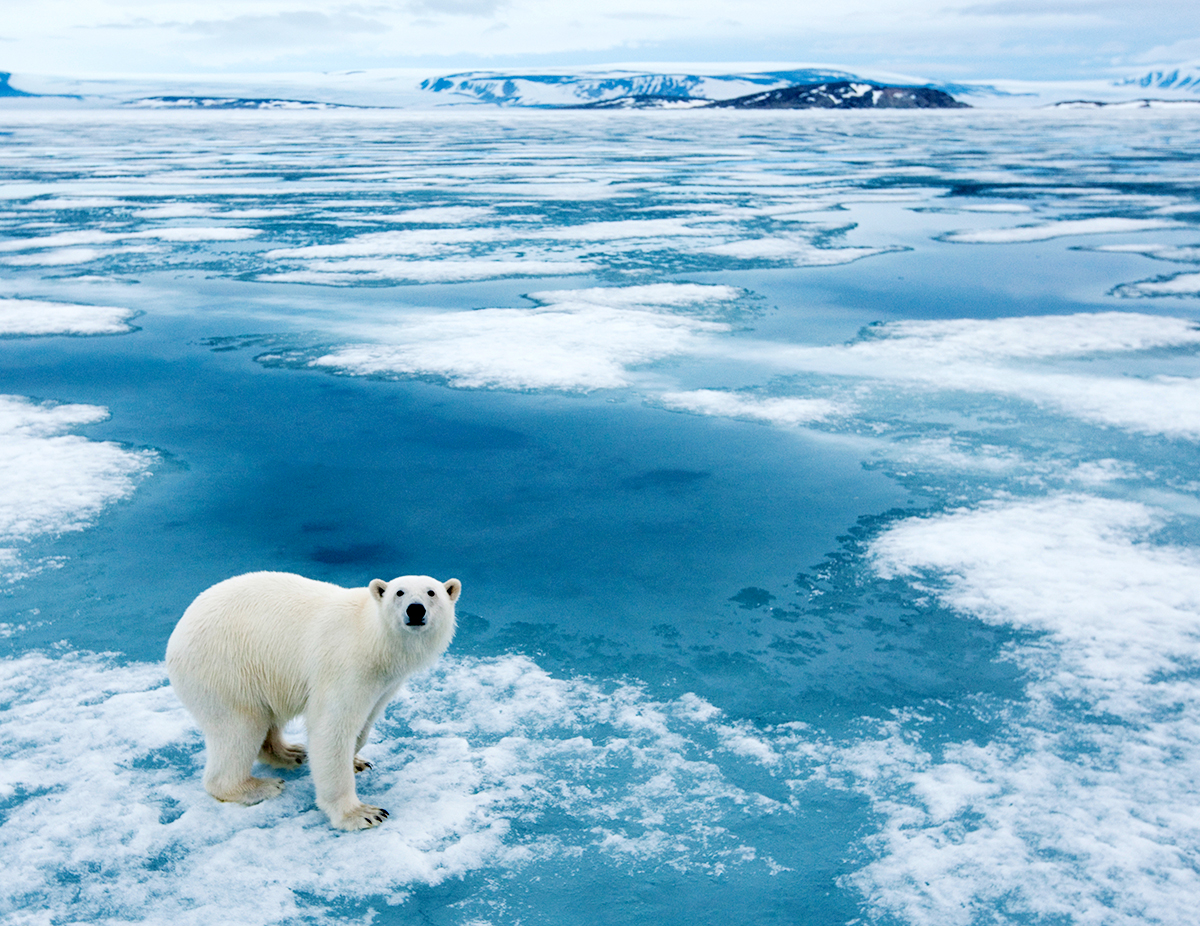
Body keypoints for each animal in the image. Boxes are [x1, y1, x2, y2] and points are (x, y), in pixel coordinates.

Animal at [166, 571, 460, 831]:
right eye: (399, 592)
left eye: (431, 592)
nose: (415, 610)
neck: (375, 639)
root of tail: (177, 633)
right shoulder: (346, 664)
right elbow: (331, 726)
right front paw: (361, 813)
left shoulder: (387, 682)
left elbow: (365, 722)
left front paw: (357, 761)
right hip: (225, 669)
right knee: (240, 726)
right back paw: (259, 786)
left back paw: (292, 752)